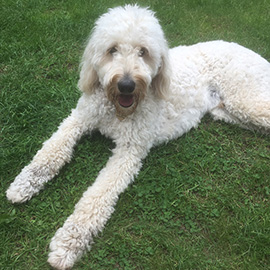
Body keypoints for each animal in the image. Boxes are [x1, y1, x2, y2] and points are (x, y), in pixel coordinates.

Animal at [5, 4, 270, 270]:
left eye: (143, 52)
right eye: (112, 49)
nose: (126, 85)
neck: (116, 110)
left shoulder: (129, 151)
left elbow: (97, 196)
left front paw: (70, 241)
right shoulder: (79, 119)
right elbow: (51, 151)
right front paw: (25, 183)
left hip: (245, 100)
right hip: (230, 109)